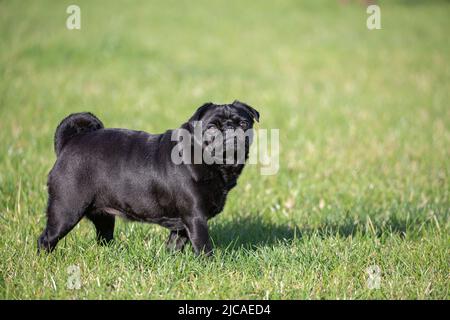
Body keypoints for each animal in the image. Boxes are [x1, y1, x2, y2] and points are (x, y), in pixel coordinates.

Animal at [37, 101, 258, 256]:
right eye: (212, 127)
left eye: (243, 123)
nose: (230, 129)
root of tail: (71, 142)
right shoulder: (196, 218)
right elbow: (204, 247)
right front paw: (210, 266)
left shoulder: (183, 224)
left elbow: (175, 244)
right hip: (66, 211)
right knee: (46, 239)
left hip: (103, 217)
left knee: (104, 237)